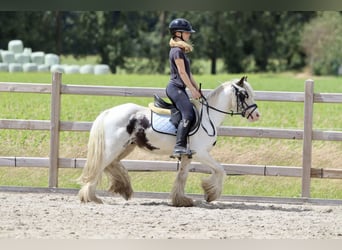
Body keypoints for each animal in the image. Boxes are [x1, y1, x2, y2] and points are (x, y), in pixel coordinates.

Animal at [78, 76, 260, 207]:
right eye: (244, 95)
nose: (256, 115)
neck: (207, 118)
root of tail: (109, 112)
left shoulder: (188, 155)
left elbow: (182, 176)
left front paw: (181, 200)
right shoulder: (201, 153)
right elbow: (221, 170)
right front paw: (210, 194)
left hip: (125, 147)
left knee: (111, 165)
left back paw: (122, 188)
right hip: (112, 147)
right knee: (100, 167)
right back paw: (92, 197)